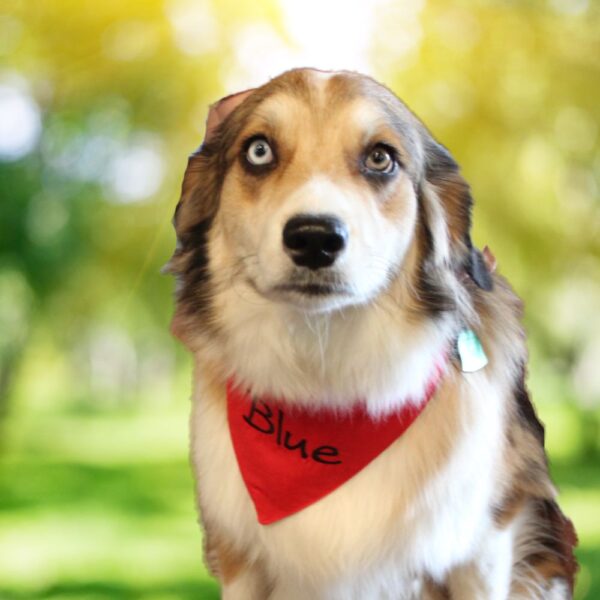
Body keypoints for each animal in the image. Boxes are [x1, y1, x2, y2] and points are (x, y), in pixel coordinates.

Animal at [166, 68, 580, 596]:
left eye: (380, 158)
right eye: (258, 151)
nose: (314, 238)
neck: (328, 382)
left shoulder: (487, 539)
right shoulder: (239, 557)